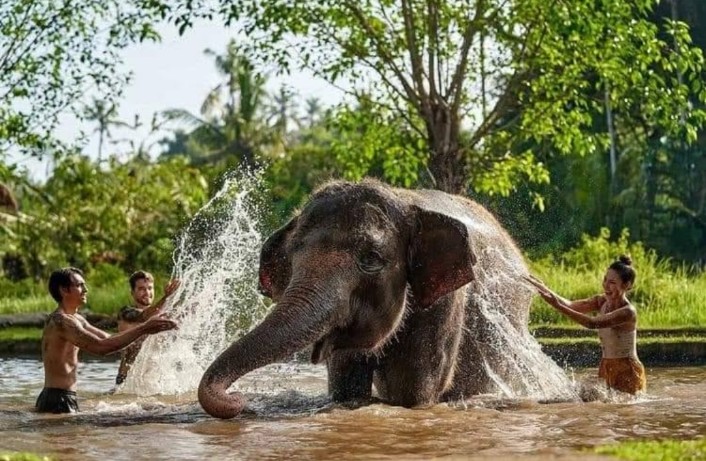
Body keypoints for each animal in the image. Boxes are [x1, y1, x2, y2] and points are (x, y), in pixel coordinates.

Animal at [198, 178, 537, 419]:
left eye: (371, 259)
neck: (405, 199)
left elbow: (411, 392)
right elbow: (347, 384)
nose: (240, 400)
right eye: (292, 254)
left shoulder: (445, 303)